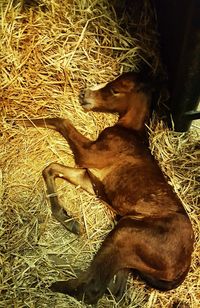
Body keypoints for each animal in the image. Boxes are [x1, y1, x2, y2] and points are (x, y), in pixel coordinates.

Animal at [16, 73, 194, 306]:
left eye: (115, 90)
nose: (84, 94)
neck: (129, 131)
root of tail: (182, 269)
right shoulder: (90, 179)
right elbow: (51, 168)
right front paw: (69, 220)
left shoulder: (89, 155)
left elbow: (61, 121)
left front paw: (20, 120)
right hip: (129, 250)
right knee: (116, 289)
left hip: (126, 232)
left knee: (92, 289)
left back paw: (52, 283)